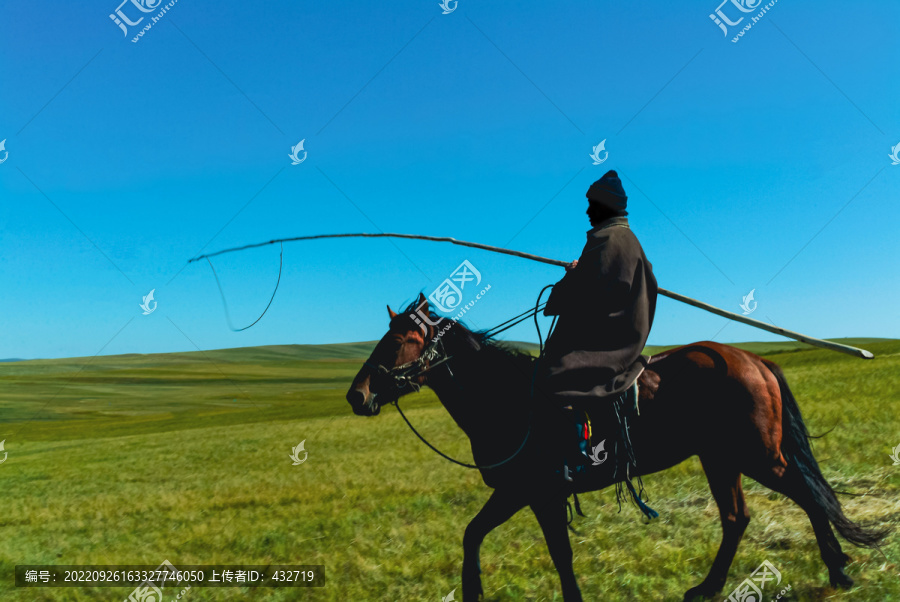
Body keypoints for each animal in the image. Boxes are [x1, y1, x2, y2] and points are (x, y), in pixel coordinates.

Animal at [344, 292, 884, 596]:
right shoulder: (524, 494)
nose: (357, 395)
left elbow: (554, 554)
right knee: (738, 517)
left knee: (807, 496)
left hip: (758, 457)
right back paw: (708, 588)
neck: (509, 398)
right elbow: (474, 535)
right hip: (721, 458)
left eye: (397, 341)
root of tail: (755, 360)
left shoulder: (535, 493)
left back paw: (838, 573)